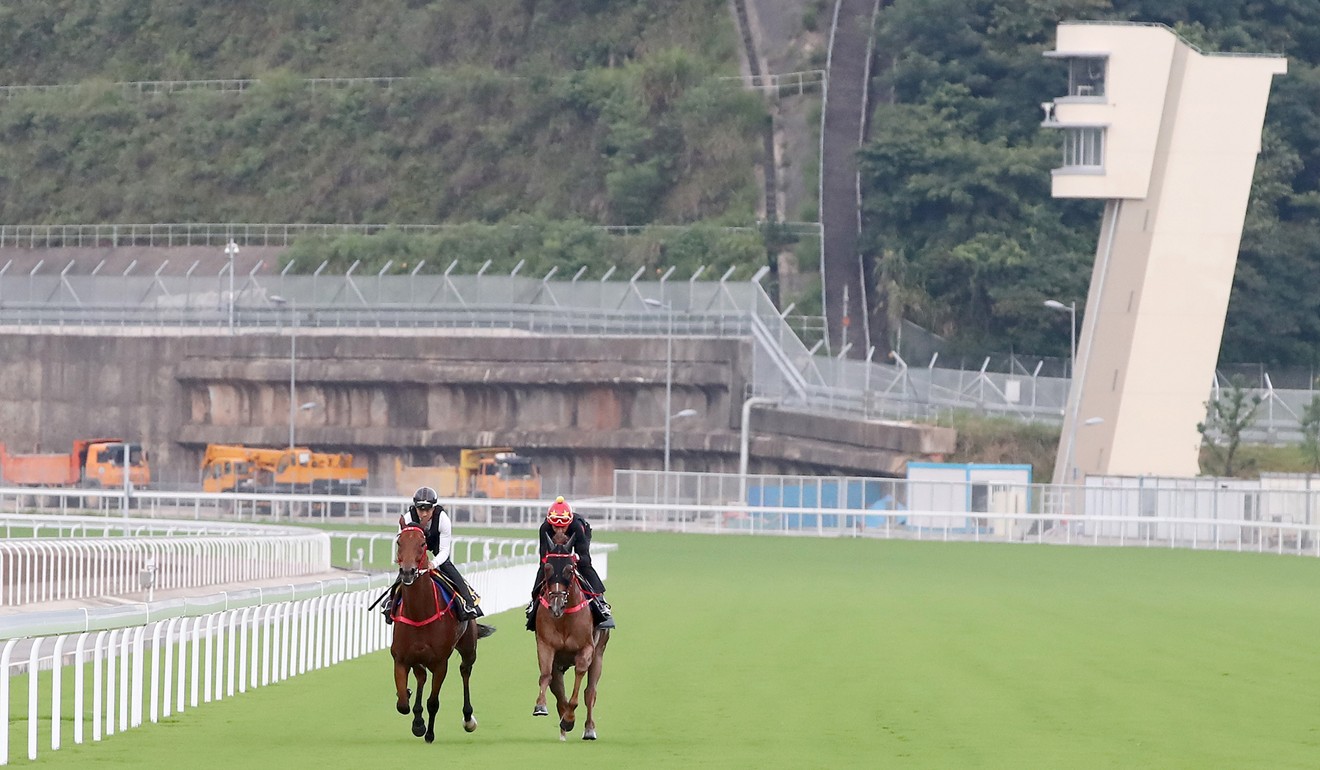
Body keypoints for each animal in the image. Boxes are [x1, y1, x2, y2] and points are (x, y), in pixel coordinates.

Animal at [388, 520, 483, 744]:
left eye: (422, 543)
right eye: (399, 542)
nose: (407, 572)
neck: (419, 613)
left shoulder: (440, 663)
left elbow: (433, 702)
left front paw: (428, 733)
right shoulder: (401, 658)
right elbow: (402, 704)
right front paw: (416, 719)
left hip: (469, 648)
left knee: (465, 670)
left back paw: (468, 718)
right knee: (422, 676)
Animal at [530, 533, 607, 744]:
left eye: (569, 569)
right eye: (547, 568)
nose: (556, 605)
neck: (564, 619)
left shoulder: (587, 648)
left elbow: (580, 674)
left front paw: (570, 718)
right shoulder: (546, 645)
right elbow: (545, 676)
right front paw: (541, 706)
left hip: (599, 654)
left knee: (590, 692)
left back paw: (588, 729)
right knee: (558, 692)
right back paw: (563, 729)